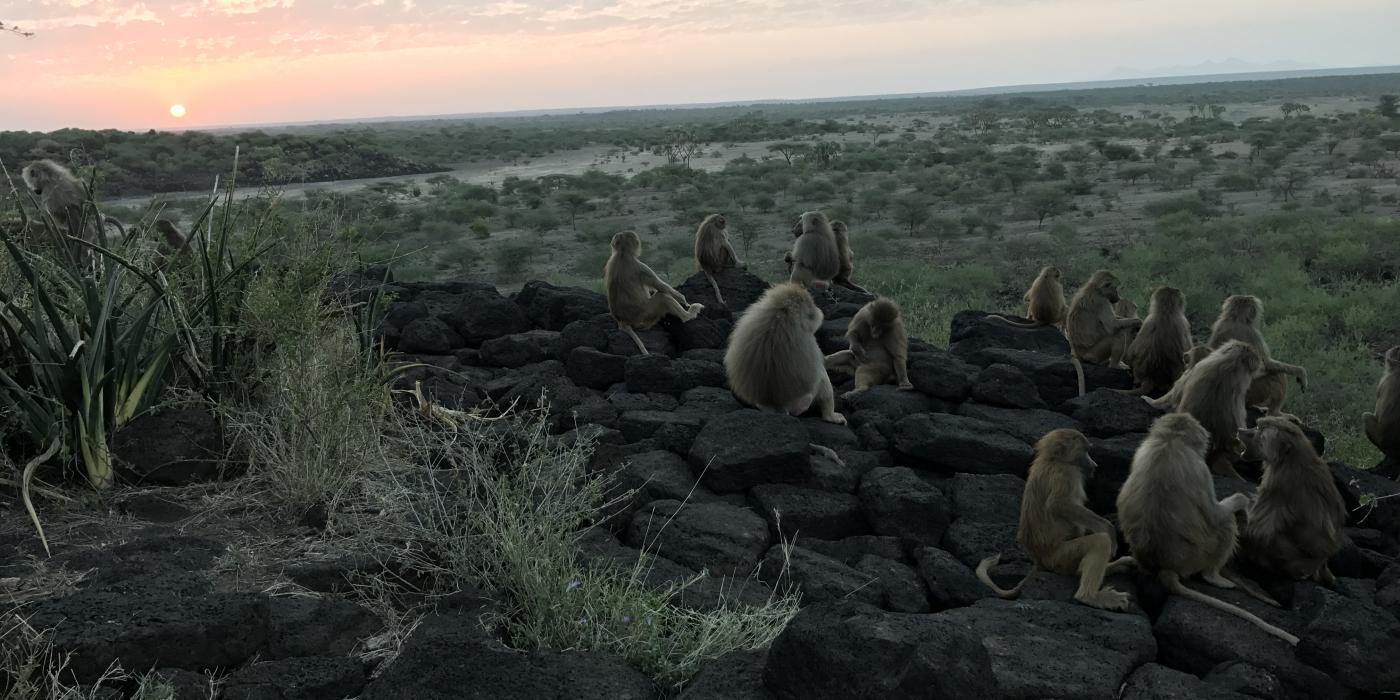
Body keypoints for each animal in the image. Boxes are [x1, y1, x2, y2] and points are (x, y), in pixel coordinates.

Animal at [728, 281, 845, 422]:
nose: (818, 310)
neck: (780, 312)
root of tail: (775, 406)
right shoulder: (808, 339)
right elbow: (821, 366)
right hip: (802, 401)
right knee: (822, 378)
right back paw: (830, 416)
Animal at [980, 425, 1142, 613]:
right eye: (1085, 451)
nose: (1094, 464)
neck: (1052, 460)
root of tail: (1039, 561)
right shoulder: (1065, 473)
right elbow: (1058, 504)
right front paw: (1108, 528)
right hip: (1059, 557)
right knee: (1100, 542)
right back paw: (1090, 596)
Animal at [1114, 411, 1299, 646]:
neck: (1170, 439)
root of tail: (1165, 566)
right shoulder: (1200, 468)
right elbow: (1214, 514)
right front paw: (1241, 500)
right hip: (1198, 556)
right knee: (1226, 523)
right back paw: (1213, 576)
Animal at [1243, 414, 1349, 585]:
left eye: (1258, 429)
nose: (1241, 431)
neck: (1291, 456)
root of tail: (1322, 563)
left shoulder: (1278, 481)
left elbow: (1258, 527)